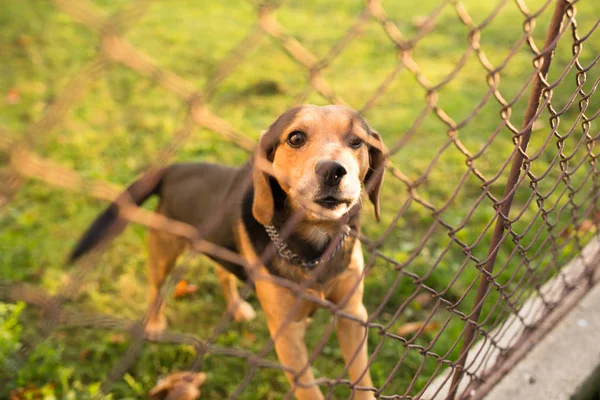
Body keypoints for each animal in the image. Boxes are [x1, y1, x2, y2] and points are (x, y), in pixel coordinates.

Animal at [70, 104, 386, 398]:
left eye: (356, 141)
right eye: (296, 138)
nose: (333, 171)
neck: (314, 245)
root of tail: (174, 169)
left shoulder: (352, 313)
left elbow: (362, 379)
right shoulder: (287, 335)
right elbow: (309, 390)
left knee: (222, 274)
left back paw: (236, 308)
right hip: (163, 251)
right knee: (155, 288)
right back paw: (155, 323)